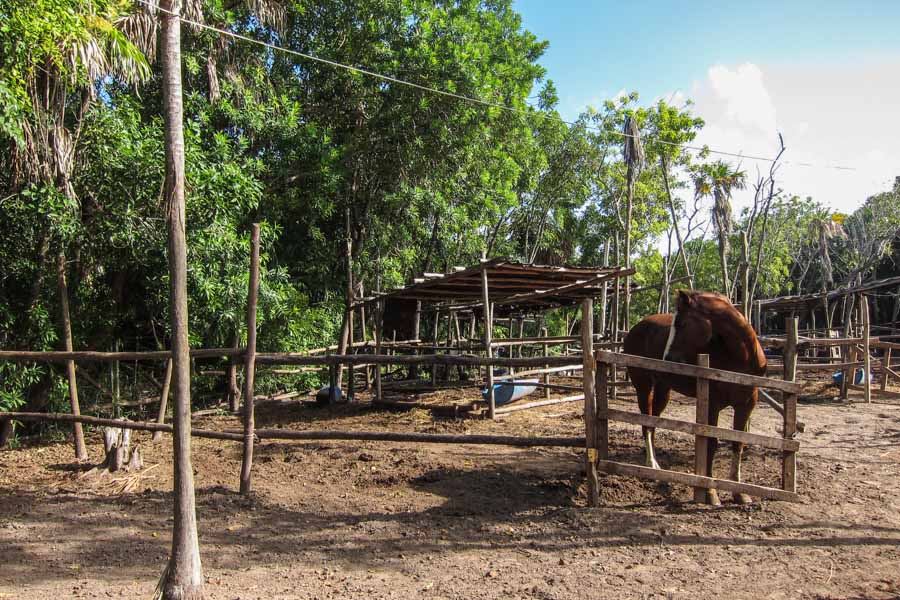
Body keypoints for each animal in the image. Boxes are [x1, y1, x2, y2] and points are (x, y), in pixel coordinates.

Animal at [624, 288, 768, 504]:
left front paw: (739, 493)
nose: (667, 359)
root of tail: (635, 329)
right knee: (646, 423)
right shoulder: (712, 405)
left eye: (682, 324)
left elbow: (738, 443)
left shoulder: (746, 404)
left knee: (654, 421)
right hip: (643, 386)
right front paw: (710, 493)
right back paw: (651, 464)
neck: (739, 357)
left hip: (663, 389)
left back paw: (655, 463)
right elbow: (711, 444)